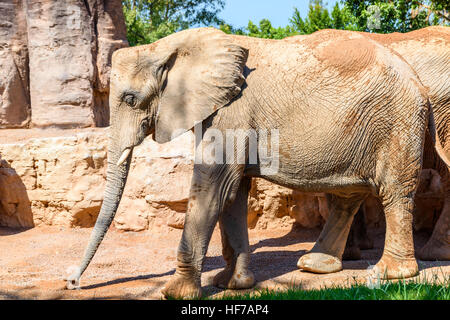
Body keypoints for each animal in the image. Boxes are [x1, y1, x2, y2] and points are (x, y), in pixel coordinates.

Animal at [65, 28, 448, 300]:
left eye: (131, 99)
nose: (72, 282)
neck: (172, 47)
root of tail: (419, 84)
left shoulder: (231, 113)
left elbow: (214, 187)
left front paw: (176, 293)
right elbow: (233, 193)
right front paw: (232, 284)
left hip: (395, 123)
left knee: (393, 192)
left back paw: (390, 274)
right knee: (348, 196)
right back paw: (315, 266)